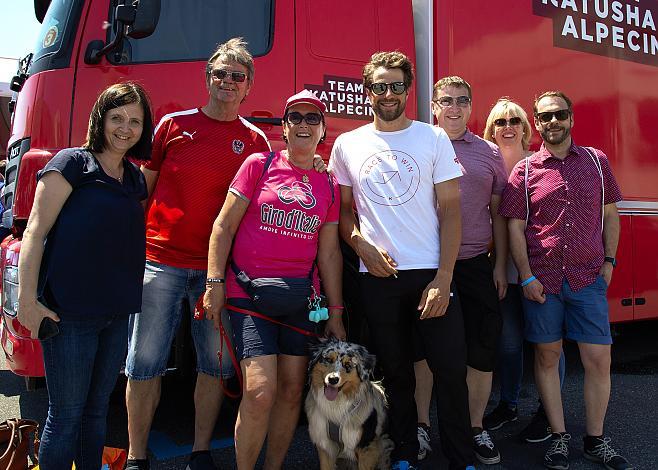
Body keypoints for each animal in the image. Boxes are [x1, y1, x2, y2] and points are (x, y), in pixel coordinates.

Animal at [304, 340, 390, 468]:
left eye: (348, 365)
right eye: (328, 359)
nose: (333, 379)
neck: (336, 405)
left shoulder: (366, 447)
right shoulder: (325, 445)